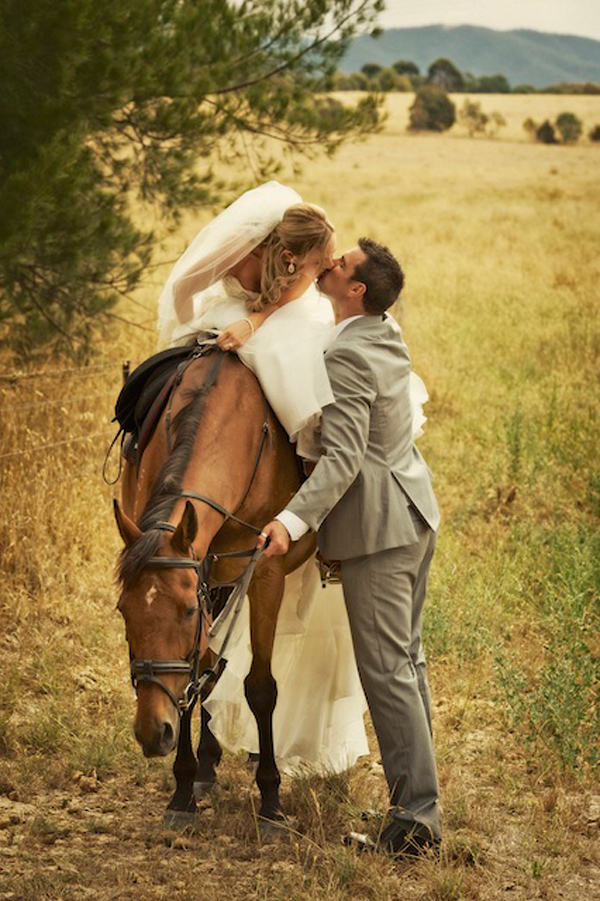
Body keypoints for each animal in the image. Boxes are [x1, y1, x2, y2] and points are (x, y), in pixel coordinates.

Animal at [114, 346, 316, 828]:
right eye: (123, 611)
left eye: (187, 610)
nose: (152, 732)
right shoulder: (204, 567)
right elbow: (195, 679)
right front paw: (184, 789)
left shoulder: (265, 571)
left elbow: (261, 687)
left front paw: (271, 799)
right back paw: (207, 764)